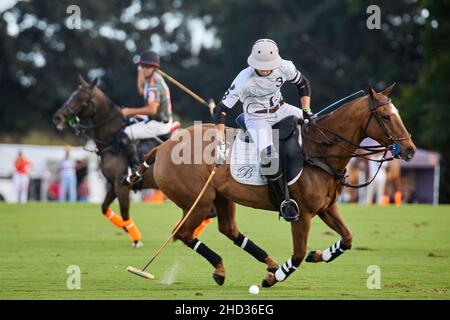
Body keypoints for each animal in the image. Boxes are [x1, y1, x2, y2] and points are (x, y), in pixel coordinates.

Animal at [129, 84, 414, 286]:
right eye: (386, 117)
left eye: (397, 114)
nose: (410, 150)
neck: (319, 151)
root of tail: (164, 146)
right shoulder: (302, 213)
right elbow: (298, 254)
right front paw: (271, 280)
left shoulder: (326, 208)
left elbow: (347, 239)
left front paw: (317, 256)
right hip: (198, 201)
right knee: (182, 232)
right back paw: (231, 268)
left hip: (221, 197)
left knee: (227, 229)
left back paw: (266, 263)